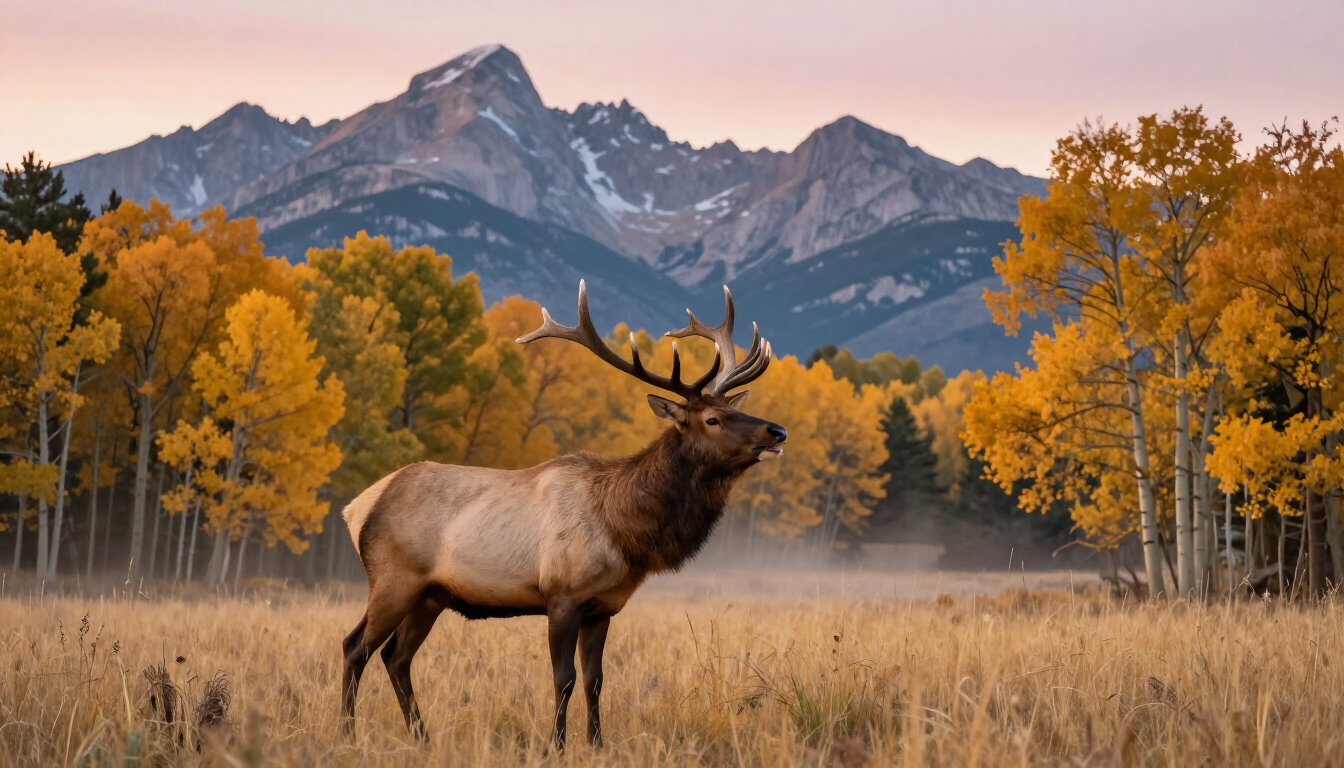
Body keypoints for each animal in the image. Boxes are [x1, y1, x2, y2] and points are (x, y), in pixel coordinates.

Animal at [339, 281, 786, 750]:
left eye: (736, 409)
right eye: (713, 419)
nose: (777, 431)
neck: (624, 532)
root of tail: (356, 507)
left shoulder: (603, 607)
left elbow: (595, 679)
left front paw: (597, 743)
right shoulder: (561, 596)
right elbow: (564, 678)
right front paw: (555, 744)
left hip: (431, 595)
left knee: (396, 656)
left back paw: (423, 737)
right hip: (394, 579)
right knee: (356, 647)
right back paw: (348, 734)